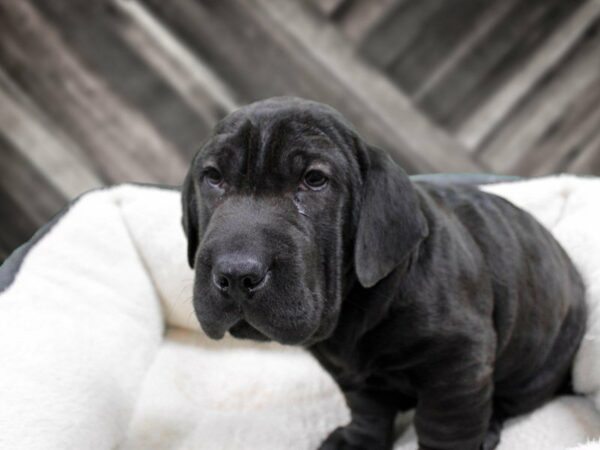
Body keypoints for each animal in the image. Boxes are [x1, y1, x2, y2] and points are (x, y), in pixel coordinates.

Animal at [182, 97, 584, 450]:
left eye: (314, 180)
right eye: (213, 177)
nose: (237, 274)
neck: (352, 307)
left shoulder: (458, 363)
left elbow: (446, 426)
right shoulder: (350, 373)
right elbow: (368, 410)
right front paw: (358, 441)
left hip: (537, 365)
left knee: (506, 400)